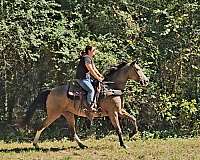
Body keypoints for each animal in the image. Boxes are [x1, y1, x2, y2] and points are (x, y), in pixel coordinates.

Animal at [19, 61, 148, 149]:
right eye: (137, 69)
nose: (146, 81)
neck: (111, 87)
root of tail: (51, 91)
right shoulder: (113, 113)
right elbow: (118, 129)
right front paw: (123, 144)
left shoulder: (120, 111)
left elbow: (133, 118)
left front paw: (132, 133)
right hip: (53, 114)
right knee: (41, 126)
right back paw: (35, 145)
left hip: (68, 114)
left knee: (72, 131)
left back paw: (82, 145)